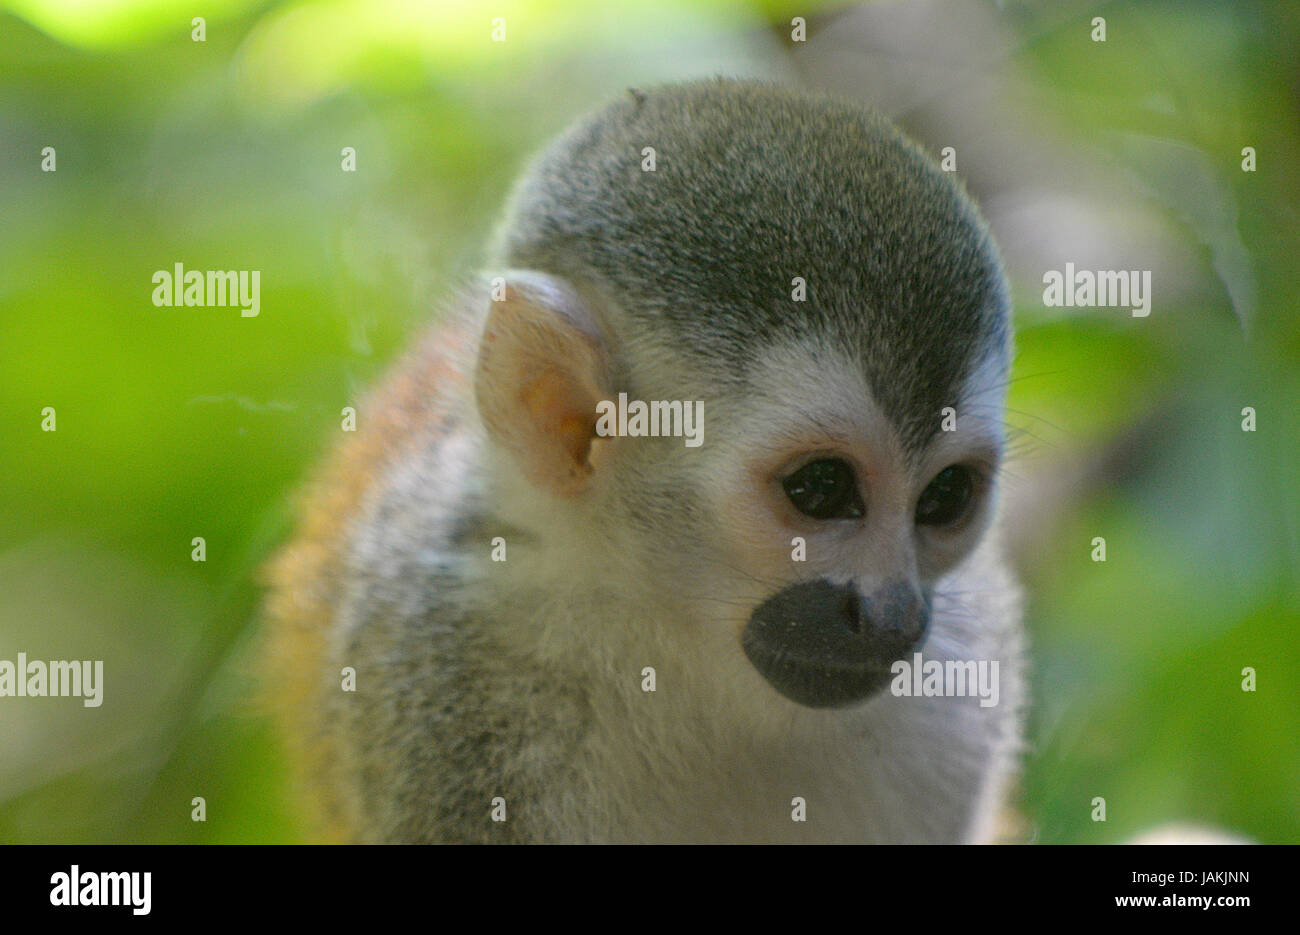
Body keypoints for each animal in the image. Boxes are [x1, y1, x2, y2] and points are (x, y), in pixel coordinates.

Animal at [264, 77, 1024, 844]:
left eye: (946, 495)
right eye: (821, 487)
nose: (892, 616)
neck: (679, 651)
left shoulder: (961, 695)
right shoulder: (452, 670)